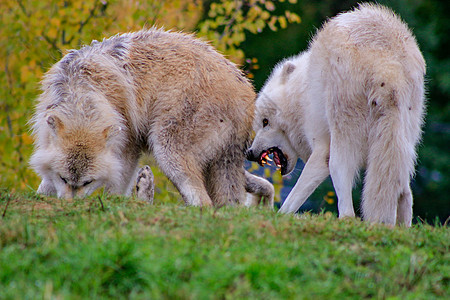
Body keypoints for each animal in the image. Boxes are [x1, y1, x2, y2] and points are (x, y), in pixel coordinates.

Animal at [246, 3, 426, 225]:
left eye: (265, 122)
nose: (249, 153)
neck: (300, 98)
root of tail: (386, 65)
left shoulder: (321, 150)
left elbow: (292, 199)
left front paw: (279, 217)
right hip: (403, 141)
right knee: (404, 191)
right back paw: (399, 228)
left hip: (341, 140)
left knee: (345, 194)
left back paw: (347, 220)